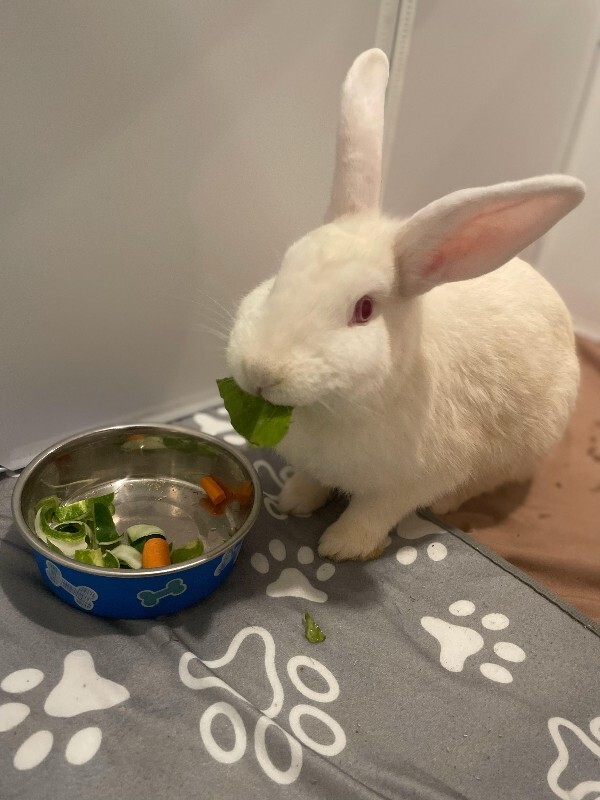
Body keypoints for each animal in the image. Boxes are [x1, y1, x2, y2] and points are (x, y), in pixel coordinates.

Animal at [226, 49, 585, 561]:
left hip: (525, 447)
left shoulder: (410, 482)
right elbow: (311, 480)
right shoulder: (315, 462)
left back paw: (449, 505)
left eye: (364, 310)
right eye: (282, 271)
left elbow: (374, 512)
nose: (260, 372)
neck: (336, 409)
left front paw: (341, 548)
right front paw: (293, 502)